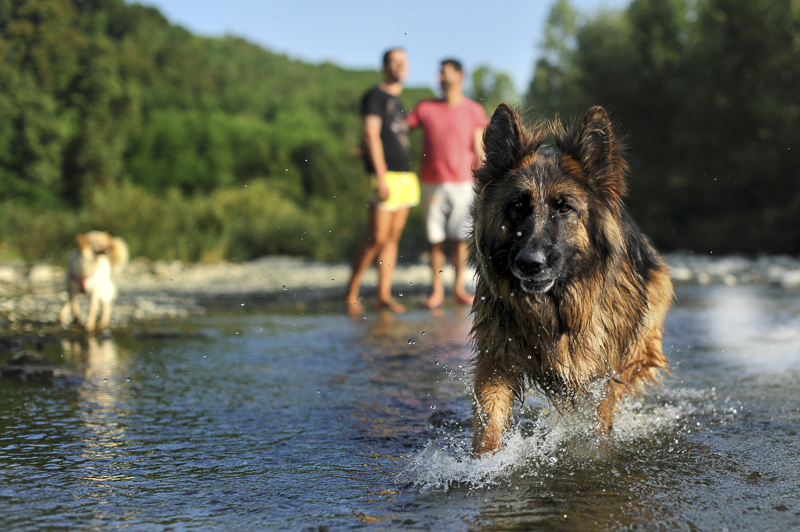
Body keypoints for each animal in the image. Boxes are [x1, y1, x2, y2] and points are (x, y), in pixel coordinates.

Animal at [468, 105, 676, 458]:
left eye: (564, 207)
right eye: (516, 206)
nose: (529, 263)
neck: (557, 310)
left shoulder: (610, 365)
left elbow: (602, 413)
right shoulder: (497, 357)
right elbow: (489, 421)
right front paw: (484, 460)